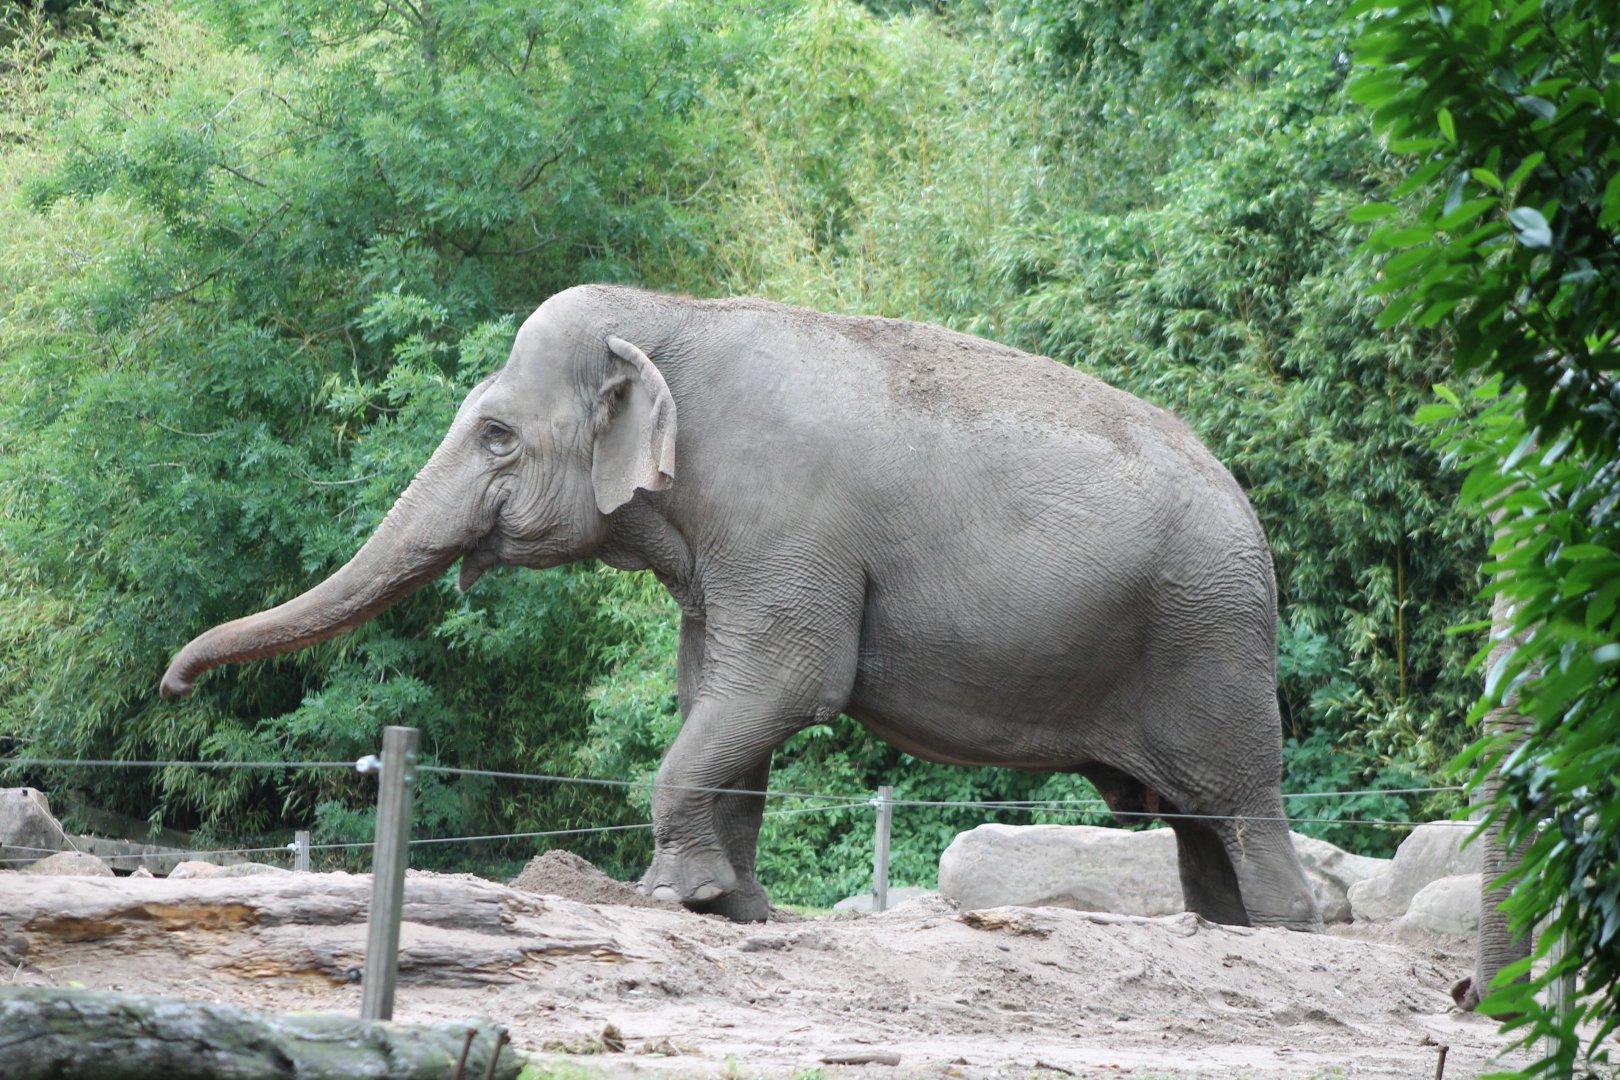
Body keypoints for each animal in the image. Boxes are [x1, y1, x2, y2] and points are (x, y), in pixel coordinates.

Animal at [160, 284, 1324, 931]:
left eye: (495, 434)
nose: (171, 683)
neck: (671, 315)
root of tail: (1244, 501)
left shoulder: (788, 526)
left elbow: (786, 684)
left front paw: (670, 898)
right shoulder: (725, 563)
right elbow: (718, 699)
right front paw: (738, 907)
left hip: (1211, 634)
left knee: (1237, 795)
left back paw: (1284, 931)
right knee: (1196, 820)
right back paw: (1223, 928)